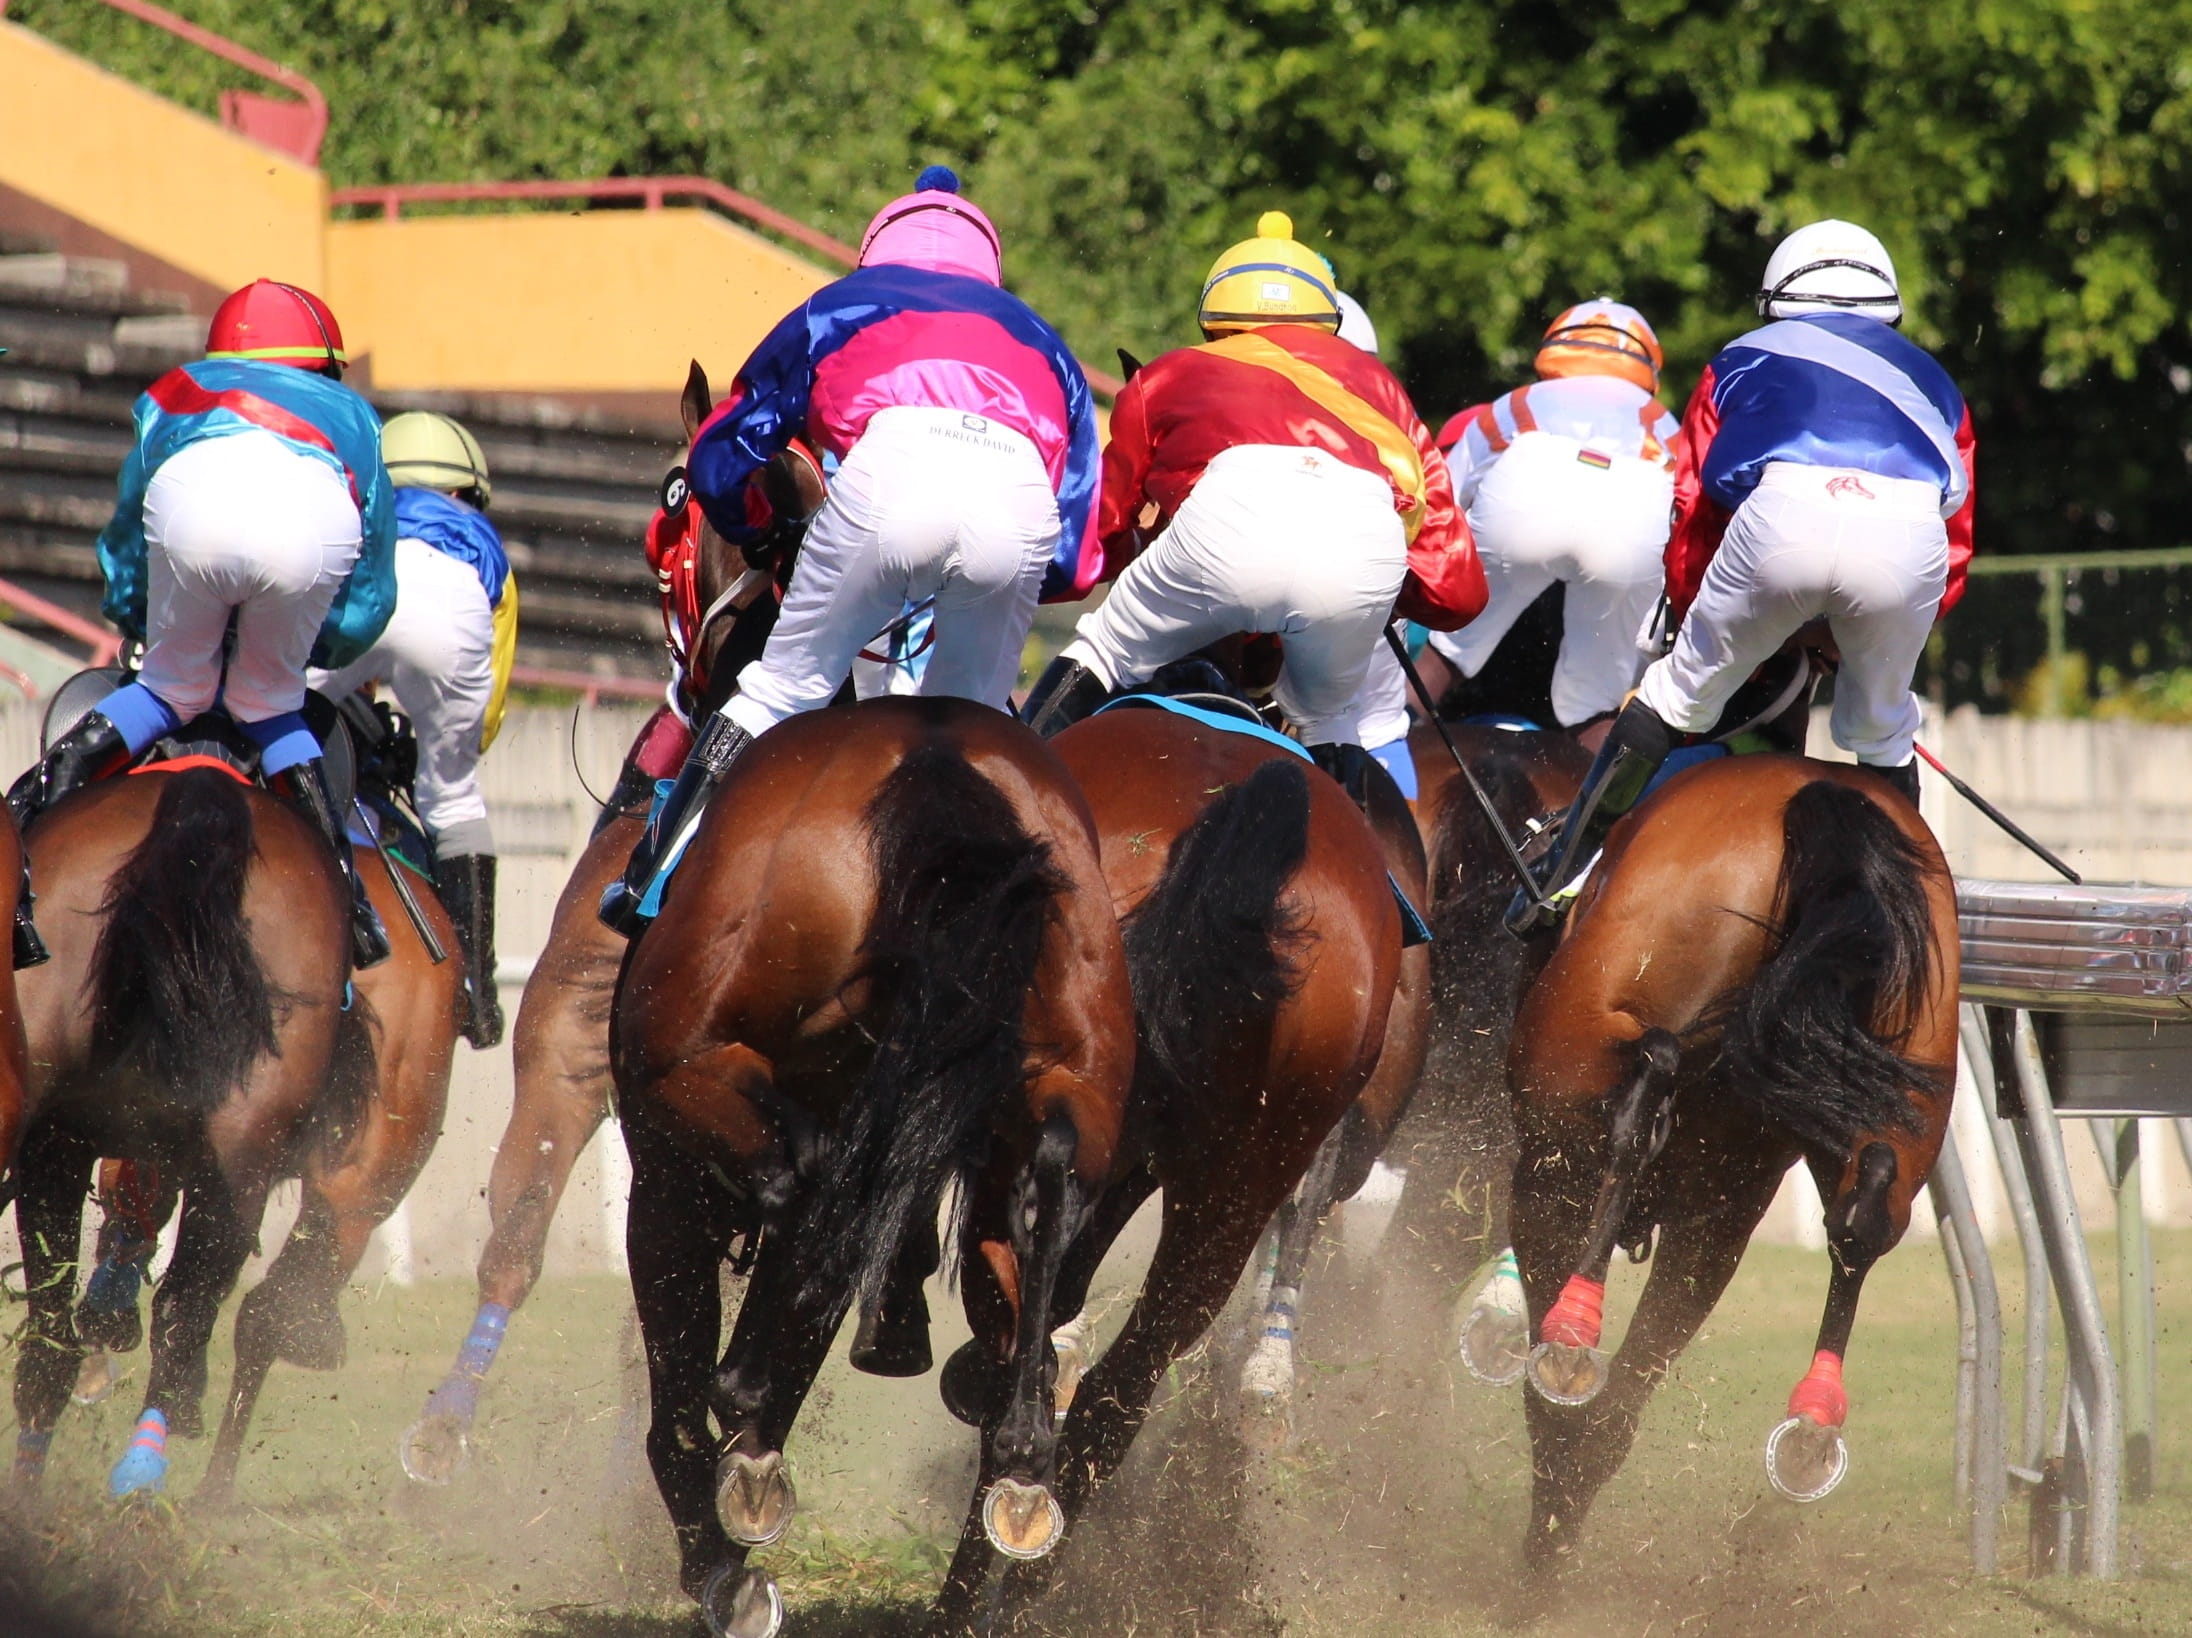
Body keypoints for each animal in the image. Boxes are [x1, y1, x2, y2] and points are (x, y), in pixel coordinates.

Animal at [7, 767, 350, 1499]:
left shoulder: (64, 1142)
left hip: (63, 1144)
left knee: (63, 1335)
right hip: (234, 1160)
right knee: (177, 1316)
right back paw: (142, 1479)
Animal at [613, 697, 1131, 1631]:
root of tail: (935, 749)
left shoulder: (668, 1177)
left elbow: (682, 1385)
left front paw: (718, 1552)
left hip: (701, 1075)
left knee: (803, 1194)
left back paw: (746, 1408)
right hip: (1077, 1065)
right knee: (1051, 1182)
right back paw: (1023, 1450)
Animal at [1508, 763, 1955, 1570]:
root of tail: (1817, 796)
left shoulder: (1546, 1175)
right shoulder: (1717, 1216)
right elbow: (1614, 1414)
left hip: (1576, 1085)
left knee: (1647, 1081)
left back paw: (1573, 1337)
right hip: (1906, 1084)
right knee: (1867, 1205)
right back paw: (1811, 1428)